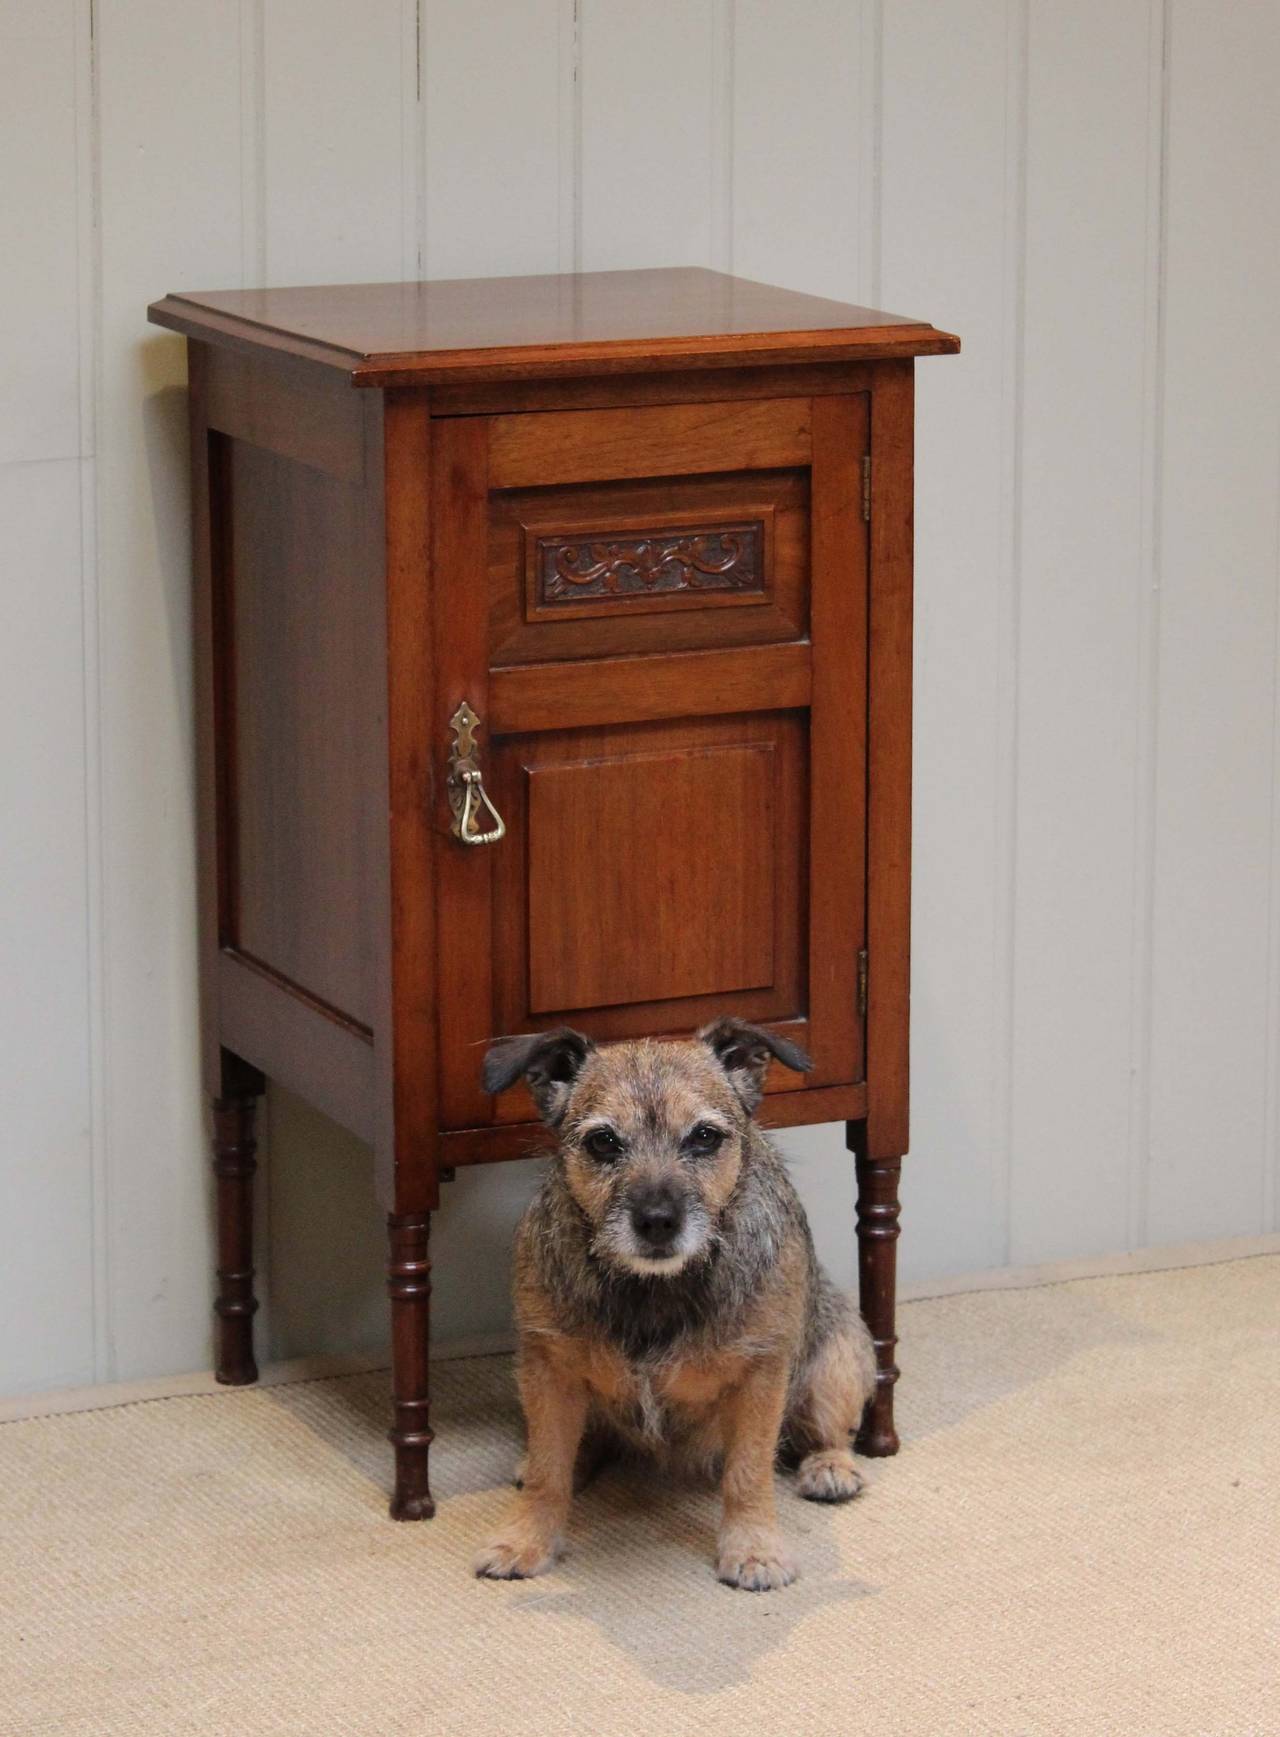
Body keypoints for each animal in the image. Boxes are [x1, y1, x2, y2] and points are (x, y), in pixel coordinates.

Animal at [475, 1014, 875, 1598]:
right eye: (603, 1142)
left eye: (704, 1137)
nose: (658, 1220)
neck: (653, 1288)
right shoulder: (547, 1366)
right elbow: (551, 1471)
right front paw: (525, 1540)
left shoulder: (761, 1375)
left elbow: (748, 1471)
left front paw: (753, 1549)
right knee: (577, 1444)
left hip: (839, 1360)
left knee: (828, 1429)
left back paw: (830, 1466)